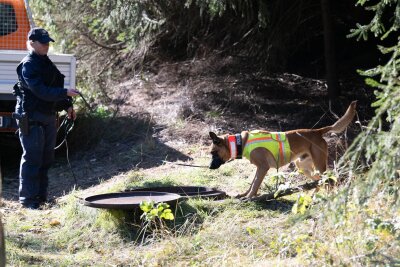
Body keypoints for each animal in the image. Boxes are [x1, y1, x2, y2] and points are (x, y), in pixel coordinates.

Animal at [209, 101, 356, 200]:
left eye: (213, 153)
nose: (210, 167)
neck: (241, 142)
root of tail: (317, 131)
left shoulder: (263, 167)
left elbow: (255, 184)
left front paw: (249, 197)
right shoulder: (259, 169)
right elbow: (252, 183)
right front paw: (246, 194)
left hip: (319, 165)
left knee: (328, 179)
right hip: (303, 166)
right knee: (319, 180)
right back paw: (315, 195)